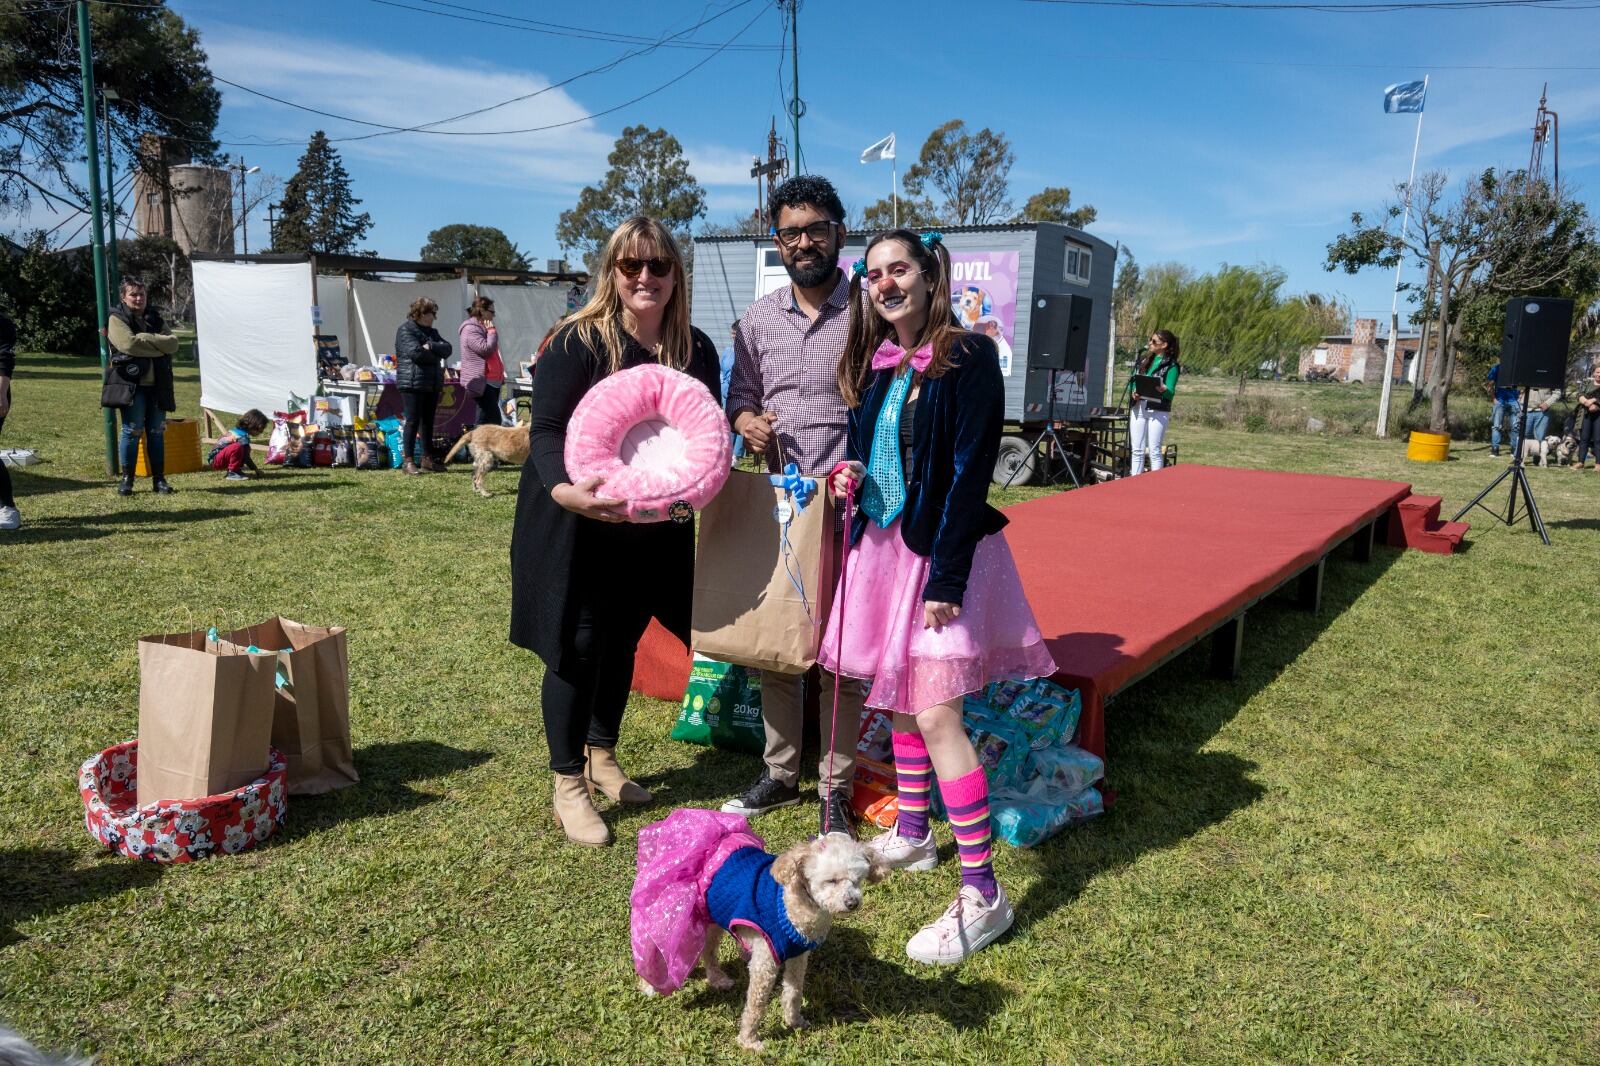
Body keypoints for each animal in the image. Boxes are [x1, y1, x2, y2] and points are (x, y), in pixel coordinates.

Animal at [633, 809, 889, 1049]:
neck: (789, 905)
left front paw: (794, 1021)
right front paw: (749, 1041)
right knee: (655, 944)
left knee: (709, 950)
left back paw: (717, 979)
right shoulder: (764, 963)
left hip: (713, 916)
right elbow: (756, 1004)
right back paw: (649, 984)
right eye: (831, 881)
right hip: (677, 910)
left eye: (857, 880)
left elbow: (794, 992)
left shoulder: (797, 956)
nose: (852, 903)